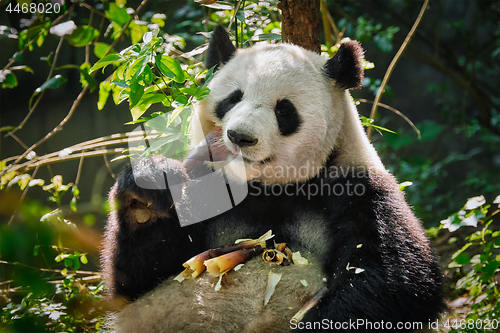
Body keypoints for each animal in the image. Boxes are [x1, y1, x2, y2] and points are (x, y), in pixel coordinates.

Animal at [100, 24, 442, 330]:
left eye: (284, 110)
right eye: (232, 98)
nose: (240, 137)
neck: (267, 187)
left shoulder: (356, 187)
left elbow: (391, 278)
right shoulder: (208, 190)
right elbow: (138, 280)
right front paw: (147, 194)